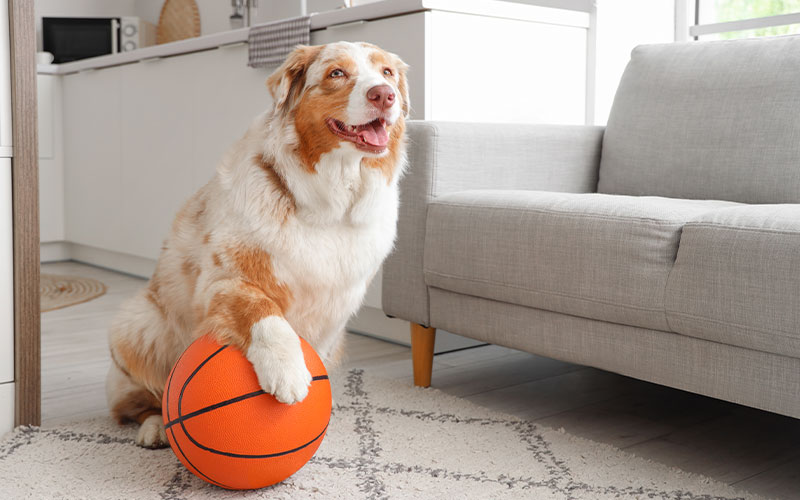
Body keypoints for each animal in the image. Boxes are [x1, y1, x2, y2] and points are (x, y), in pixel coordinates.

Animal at [104, 43, 410, 448]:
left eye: (387, 73)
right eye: (336, 74)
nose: (384, 95)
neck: (329, 204)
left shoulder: (334, 310)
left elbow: (316, 349)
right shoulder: (223, 280)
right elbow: (265, 313)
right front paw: (287, 372)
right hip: (137, 324)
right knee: (141, 399)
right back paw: (156, 427)